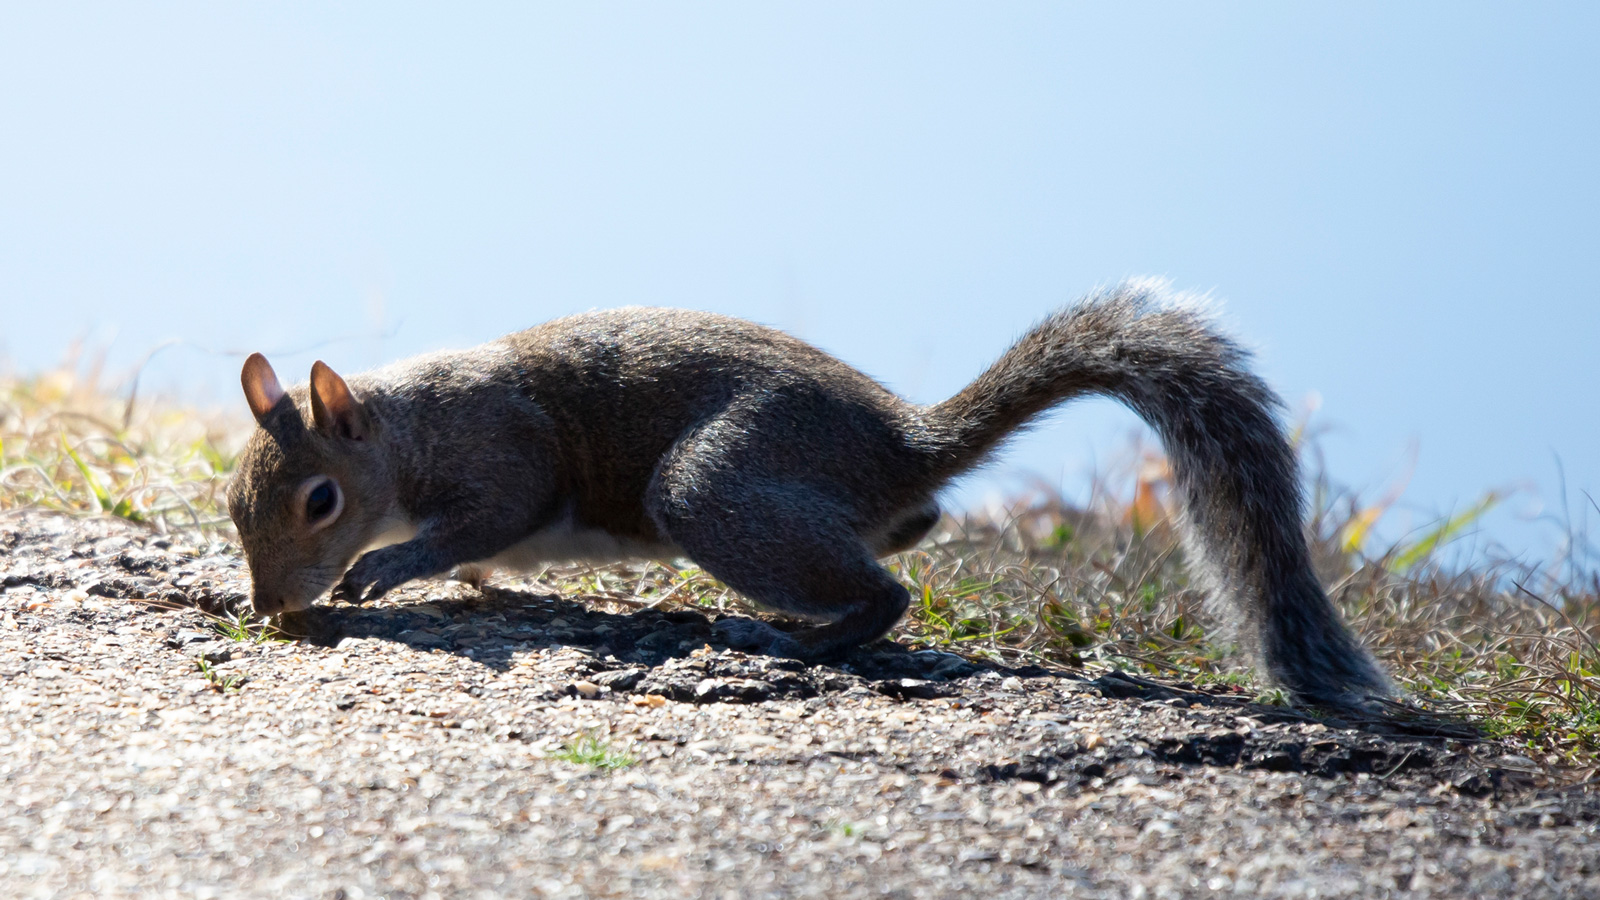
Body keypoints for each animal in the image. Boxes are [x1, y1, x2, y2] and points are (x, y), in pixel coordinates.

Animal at [227, 279, 1391, 708]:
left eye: (320, 502)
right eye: (236, 507)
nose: (270, 607)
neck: (408, 424)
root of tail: (906, 445)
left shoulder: (505, 456)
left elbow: (482, 523)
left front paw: (389, 568)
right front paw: (482, 587)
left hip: (713, 491)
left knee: (887, 596)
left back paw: (791, 639)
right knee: (912, 533)